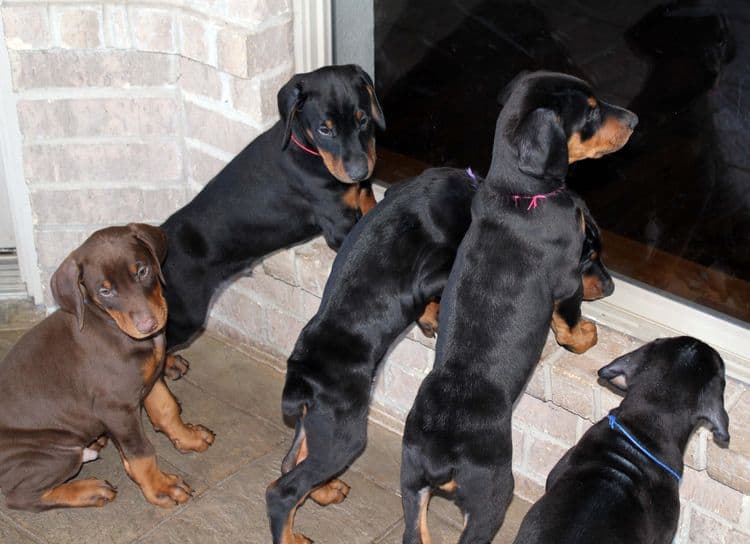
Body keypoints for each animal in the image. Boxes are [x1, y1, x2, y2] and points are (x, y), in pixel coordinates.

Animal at [0, 223, 213, 512]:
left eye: (142, 271)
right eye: (105, 291)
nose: (148, 325)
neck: (111, 325)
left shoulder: (150, 378)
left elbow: (167, 408)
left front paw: (189, 437)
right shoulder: (116, 408)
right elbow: (140, 452)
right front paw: (161, 489)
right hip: (53, 454)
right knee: (21, 497)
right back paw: (89, 491)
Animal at [164, 65, 388, 378]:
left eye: (363, 119)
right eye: (325, 129)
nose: (359, 172)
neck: (307, 150)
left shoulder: (364, 197)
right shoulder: (339, 224)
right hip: (187, 312)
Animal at [402, 72, 636, 544]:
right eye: (591, 112)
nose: (635, 120)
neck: (518, 192)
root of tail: (439, 455)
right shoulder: (566, 278)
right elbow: (568, 321)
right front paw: (586, 337)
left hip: (412, 488)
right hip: (493, 493)